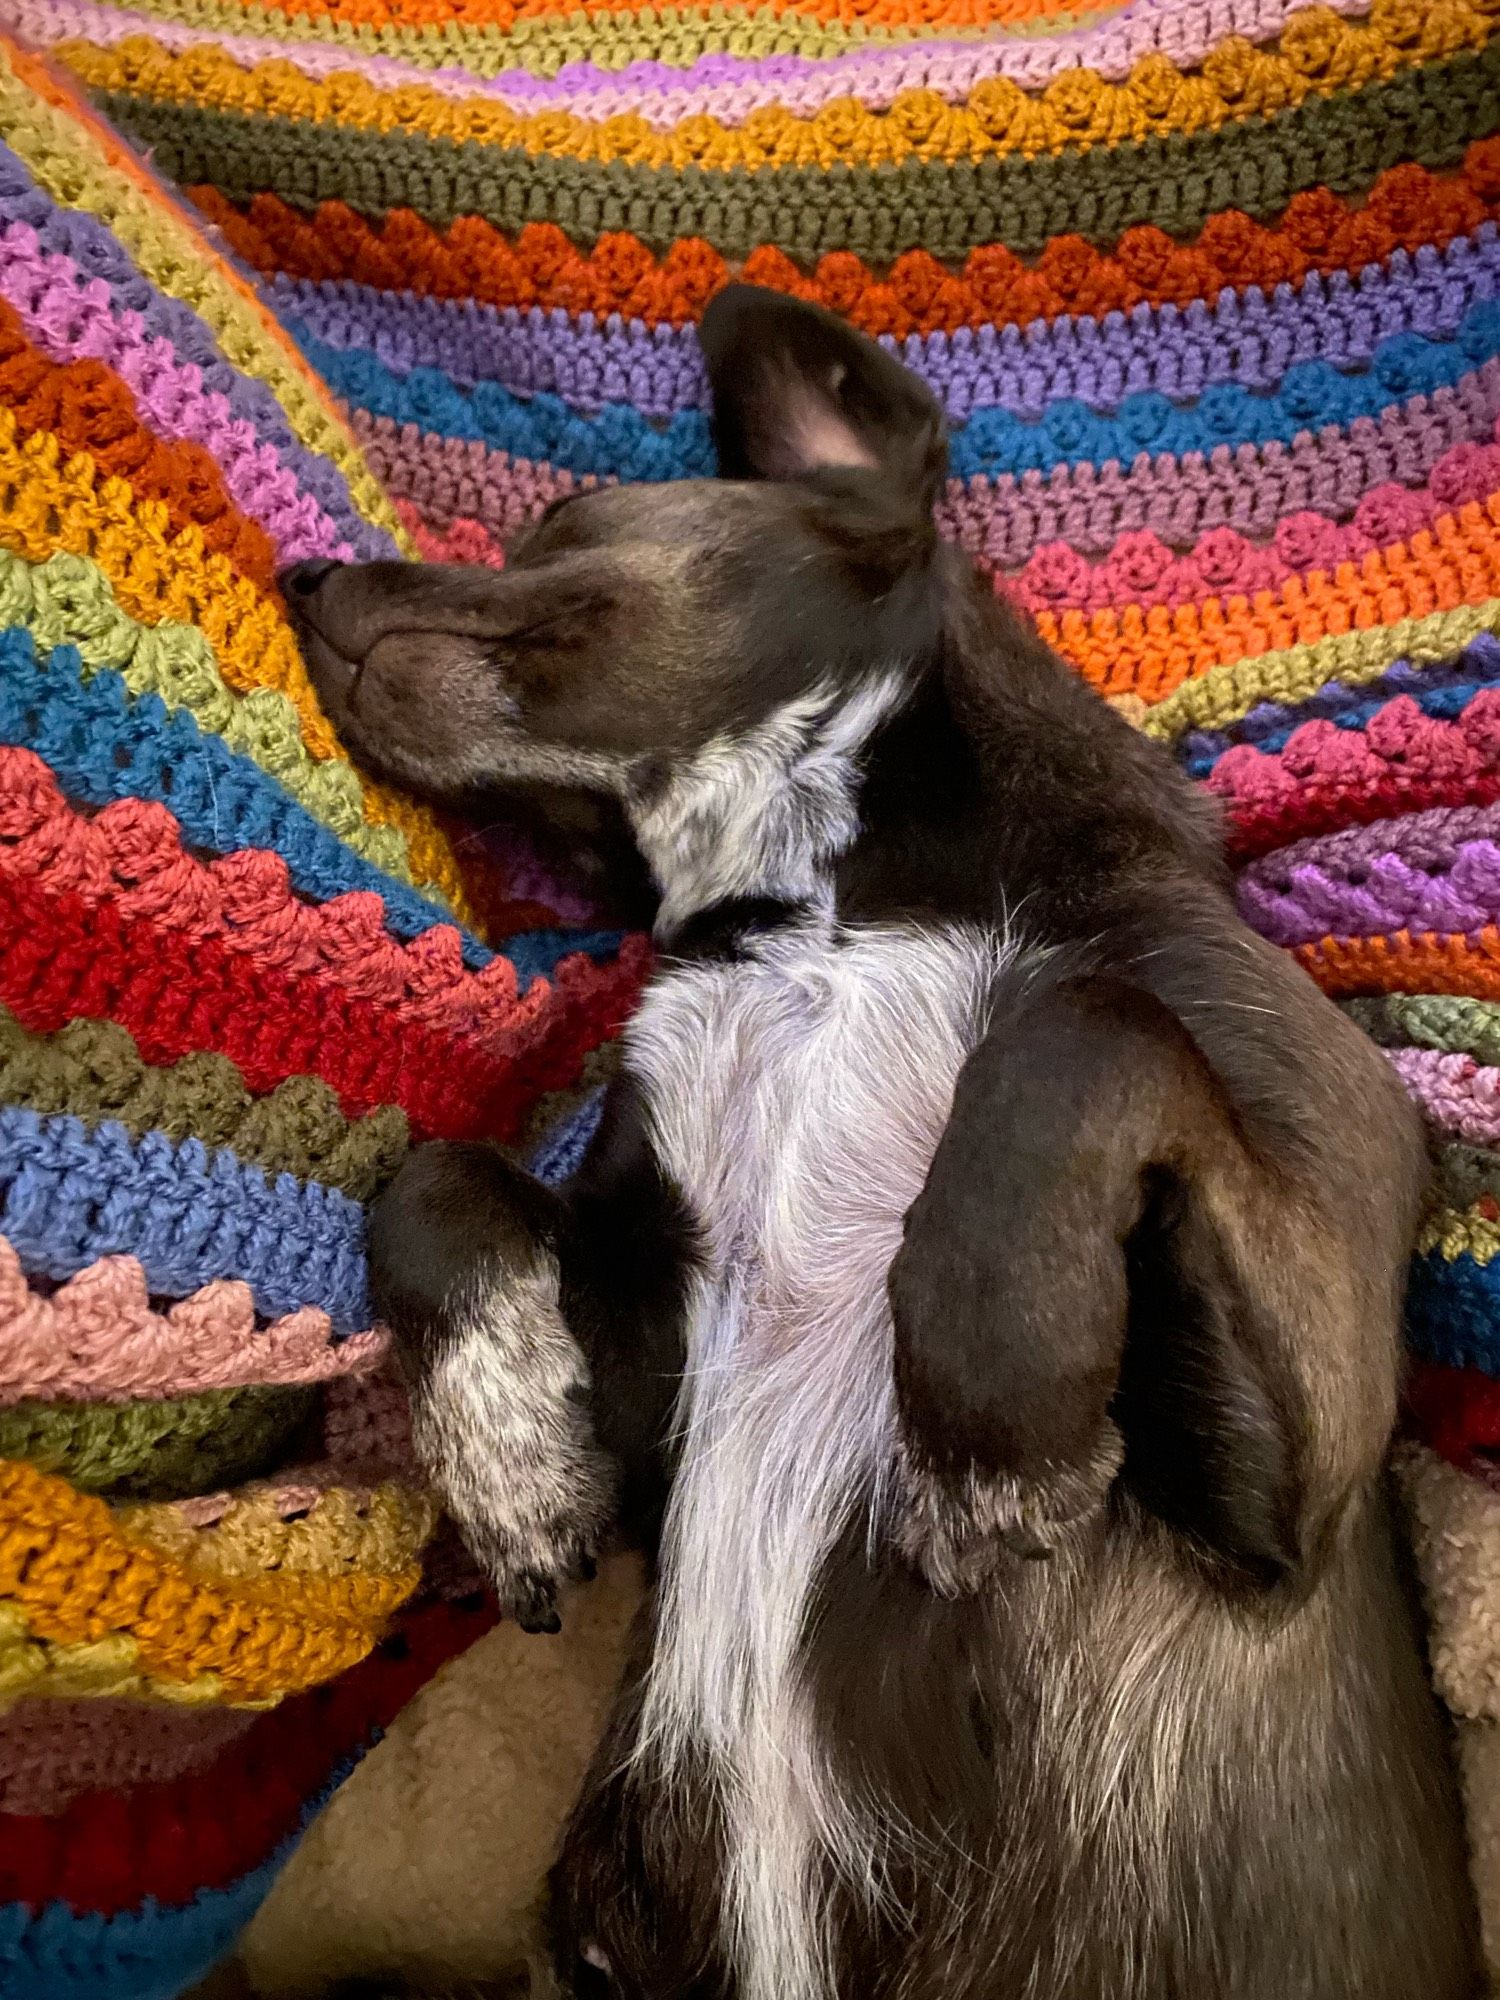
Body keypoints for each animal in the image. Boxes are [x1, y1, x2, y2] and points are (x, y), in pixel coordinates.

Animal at [288, 286, 1488, 2000]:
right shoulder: (661, 1361)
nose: (301, 574)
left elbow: (1082, 1034)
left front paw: (995, 1440)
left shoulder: (1296, 1464)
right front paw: (511, 1458)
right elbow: (435, 1180)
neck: (835, 915)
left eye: (557, 525)